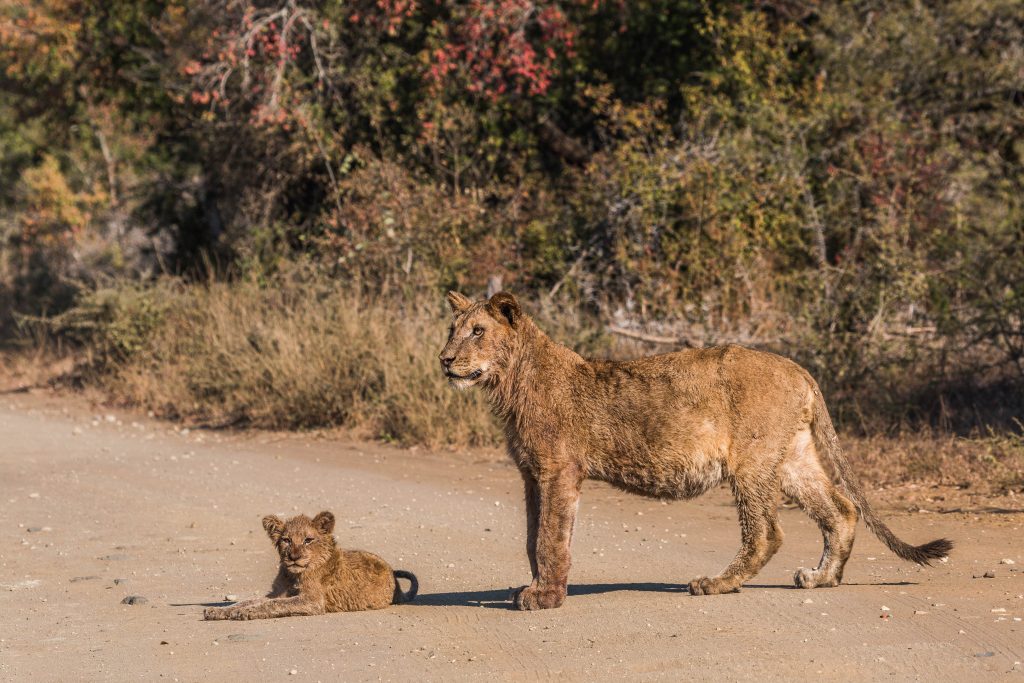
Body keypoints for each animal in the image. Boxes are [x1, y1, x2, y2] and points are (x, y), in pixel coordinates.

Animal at [203, 511, 417, 620]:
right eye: (286, 540)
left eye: (308, 540)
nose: (294, 557)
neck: (292, 574)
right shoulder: (277, 592)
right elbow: (249, 600)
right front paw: (219, 611)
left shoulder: (312, 601)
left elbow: (274, 604)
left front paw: (245, 613)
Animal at [439, 291, 952, 610]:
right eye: (451, 329)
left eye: (477, 331)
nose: (444, 360)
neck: (511, 380)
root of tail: (798, 368)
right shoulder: (532, 474)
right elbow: (532, 537)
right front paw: (534, 587)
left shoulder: (559, 470)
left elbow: (550, 537)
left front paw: (544, 597)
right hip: (790, 458)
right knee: (841, 509)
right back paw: (820, 578)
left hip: (751, 462)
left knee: (767, 532)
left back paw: (715, 584)